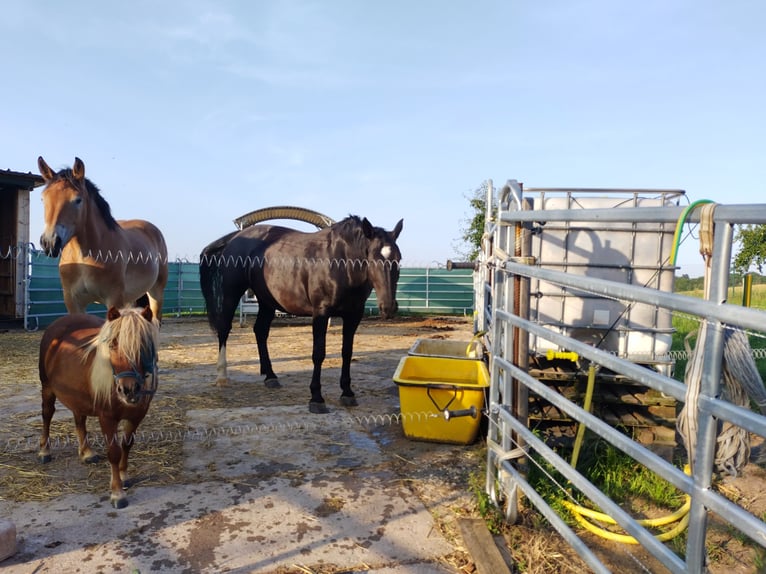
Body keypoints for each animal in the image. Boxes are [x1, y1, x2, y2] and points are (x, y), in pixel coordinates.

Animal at [38, 155, 170, 322]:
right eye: (43, 199)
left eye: (78, 200)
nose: (50, 242)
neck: (85, 257)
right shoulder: (73, 303)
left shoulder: (114, 300)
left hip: (156, 293)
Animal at [39, 306, 160, 508]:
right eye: (112, 344)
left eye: (144, 345)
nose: (128, 390)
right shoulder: (107, 418)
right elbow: (114, 452)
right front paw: (117, 493)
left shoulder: (137, 416)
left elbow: (127, 445)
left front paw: (124, 476)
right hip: (47, 388)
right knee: (47, 415)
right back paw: (44, 452)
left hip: (77, 397)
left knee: (79, 420)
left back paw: (87, 453)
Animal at [198, 216, 404, 414]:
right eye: (372, 257)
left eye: (398, 259)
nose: (388, 307)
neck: (340, 264)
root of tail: (234, 238)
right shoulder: (320, 313)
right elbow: (318, 353)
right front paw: (316, 398)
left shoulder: (353, 316)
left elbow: (347, 352)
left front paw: (347, 393)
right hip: (230, 293)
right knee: (224, 329)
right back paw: (222, 376)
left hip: (266, 301)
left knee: (260, 331)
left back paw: (270, 376)